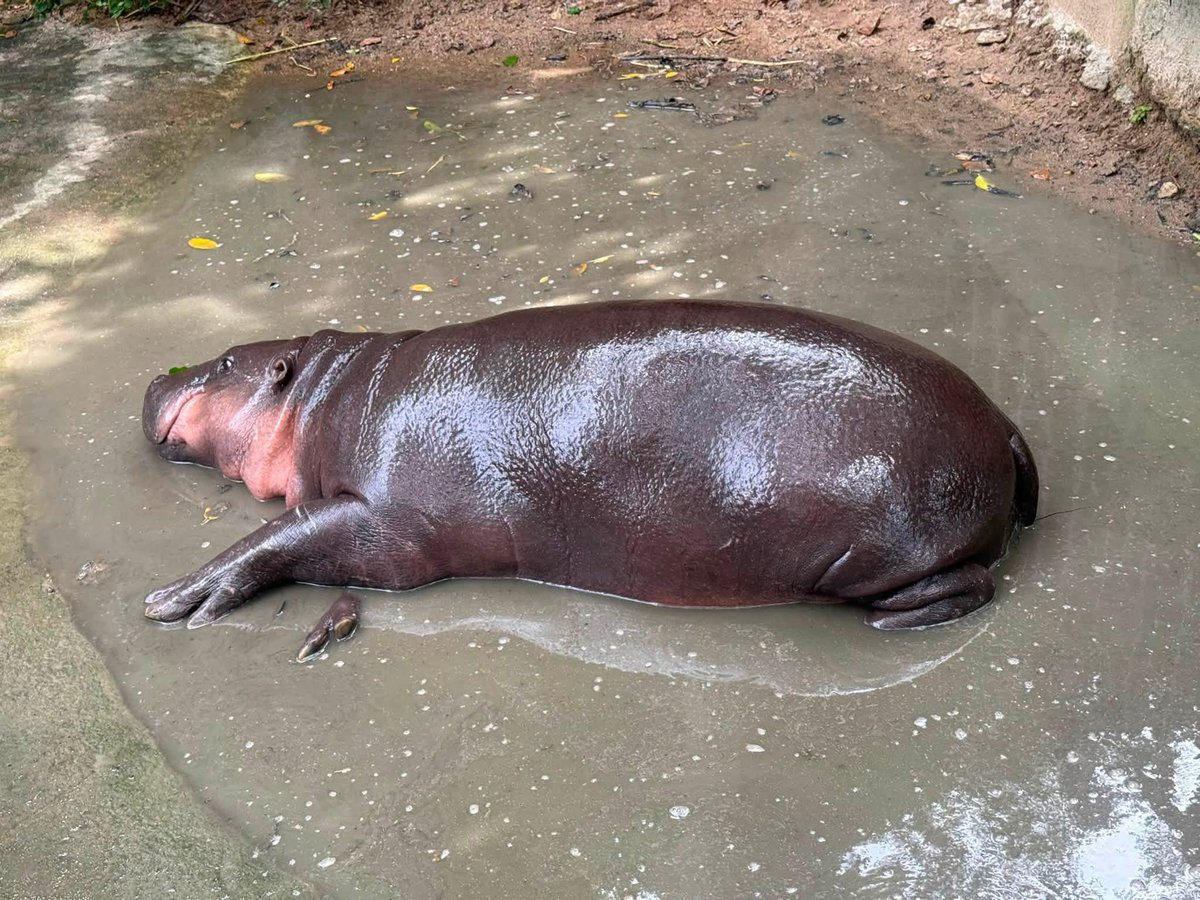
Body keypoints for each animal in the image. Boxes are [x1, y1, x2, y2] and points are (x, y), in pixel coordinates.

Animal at [141, 299, 1038, 633]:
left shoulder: (390, 528)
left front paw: (174, 597)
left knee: (969, 583)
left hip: (888, 550)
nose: (154, 374)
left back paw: (896, 623)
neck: (331, 394)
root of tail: (1005, 424)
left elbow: (286, 536)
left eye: (226, 360)